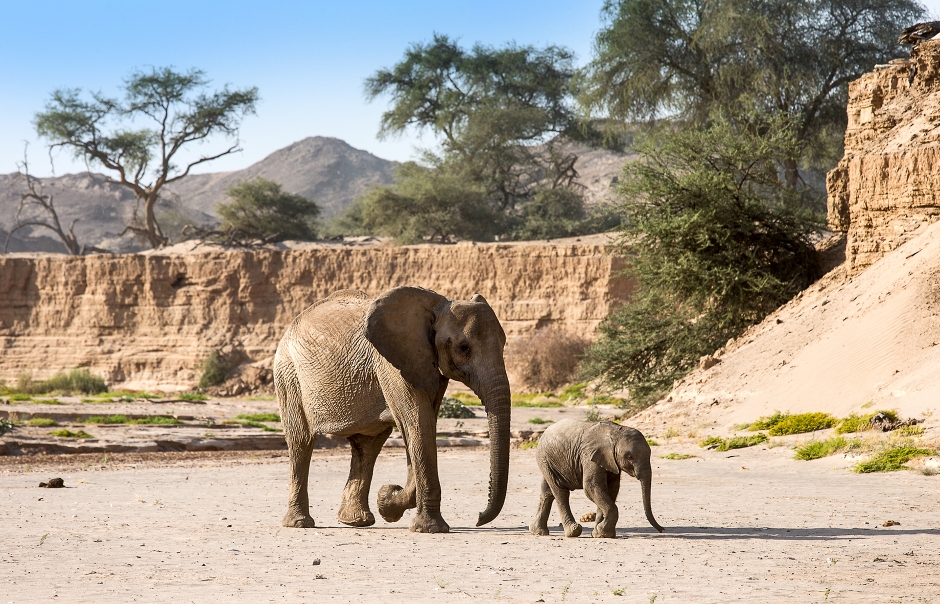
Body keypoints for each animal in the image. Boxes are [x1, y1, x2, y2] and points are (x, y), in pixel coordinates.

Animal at [276, 286, 510, 532]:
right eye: (464, 348)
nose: (479, 518)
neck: (434, 308)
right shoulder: (392, 364)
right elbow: (418, 424)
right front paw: (425, 526)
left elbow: (422, 426)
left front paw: (387, 502)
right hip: (288, 375)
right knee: (301, 441)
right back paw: (300, 523)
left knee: (367, 445)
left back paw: (356, 521)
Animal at [532, 420, 664, 536]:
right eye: (630, 457)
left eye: (650, 453)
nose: (662, 529)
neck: (616, 433)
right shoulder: (590, 457)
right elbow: (591, 487)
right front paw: (604, 533)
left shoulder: (610, 460)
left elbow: (611, 489)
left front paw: (599, 533)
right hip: (545, 458)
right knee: (560, 491)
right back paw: (573, 531)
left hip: (549, 462)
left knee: (547, 492)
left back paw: (538, 532)